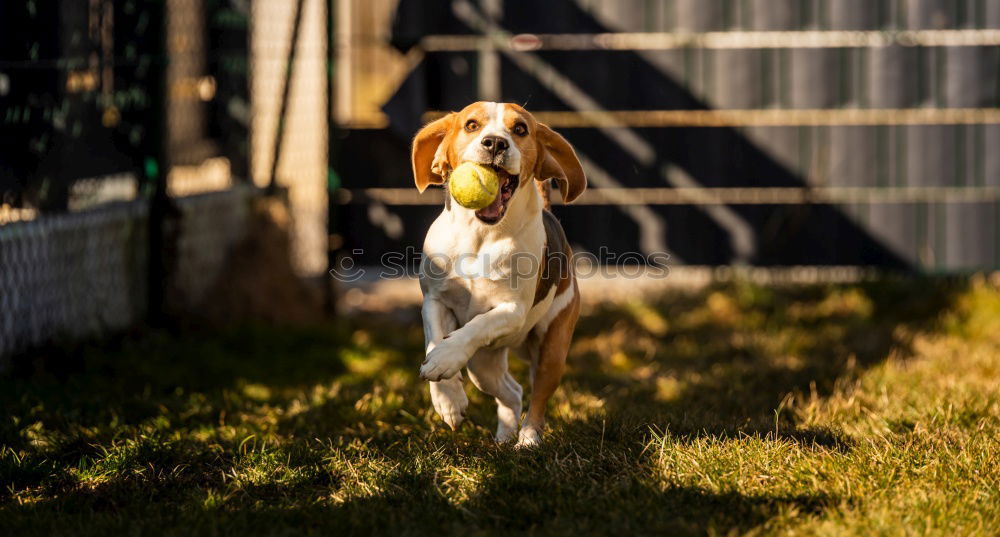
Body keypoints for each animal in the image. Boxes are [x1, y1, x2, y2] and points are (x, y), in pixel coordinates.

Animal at [412, 102, 584, 446]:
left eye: (520, 129)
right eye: (471, 125)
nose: (495, 143)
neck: (480, 236)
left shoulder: (511, 311)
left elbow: (476, 326)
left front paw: (446, 359)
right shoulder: (434, 301)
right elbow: (433, 339)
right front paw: (448, 399)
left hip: (552, 347)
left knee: (537, 398)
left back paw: (527, 440)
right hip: (482, 365)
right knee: (513, 392)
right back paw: (504, 438)